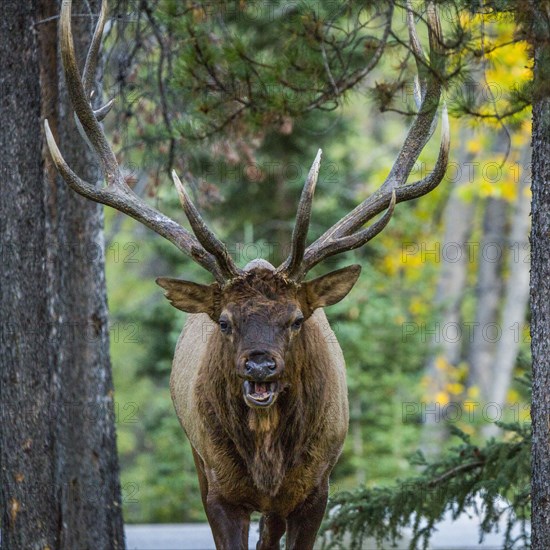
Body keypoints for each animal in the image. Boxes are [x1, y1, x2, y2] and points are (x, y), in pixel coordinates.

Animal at [45, 2, 450, 548]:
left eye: (297, 319)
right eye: (225, 321)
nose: (260, 366)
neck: (267, 462)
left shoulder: (316, 490)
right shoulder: (219, 491)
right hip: (199, 459)